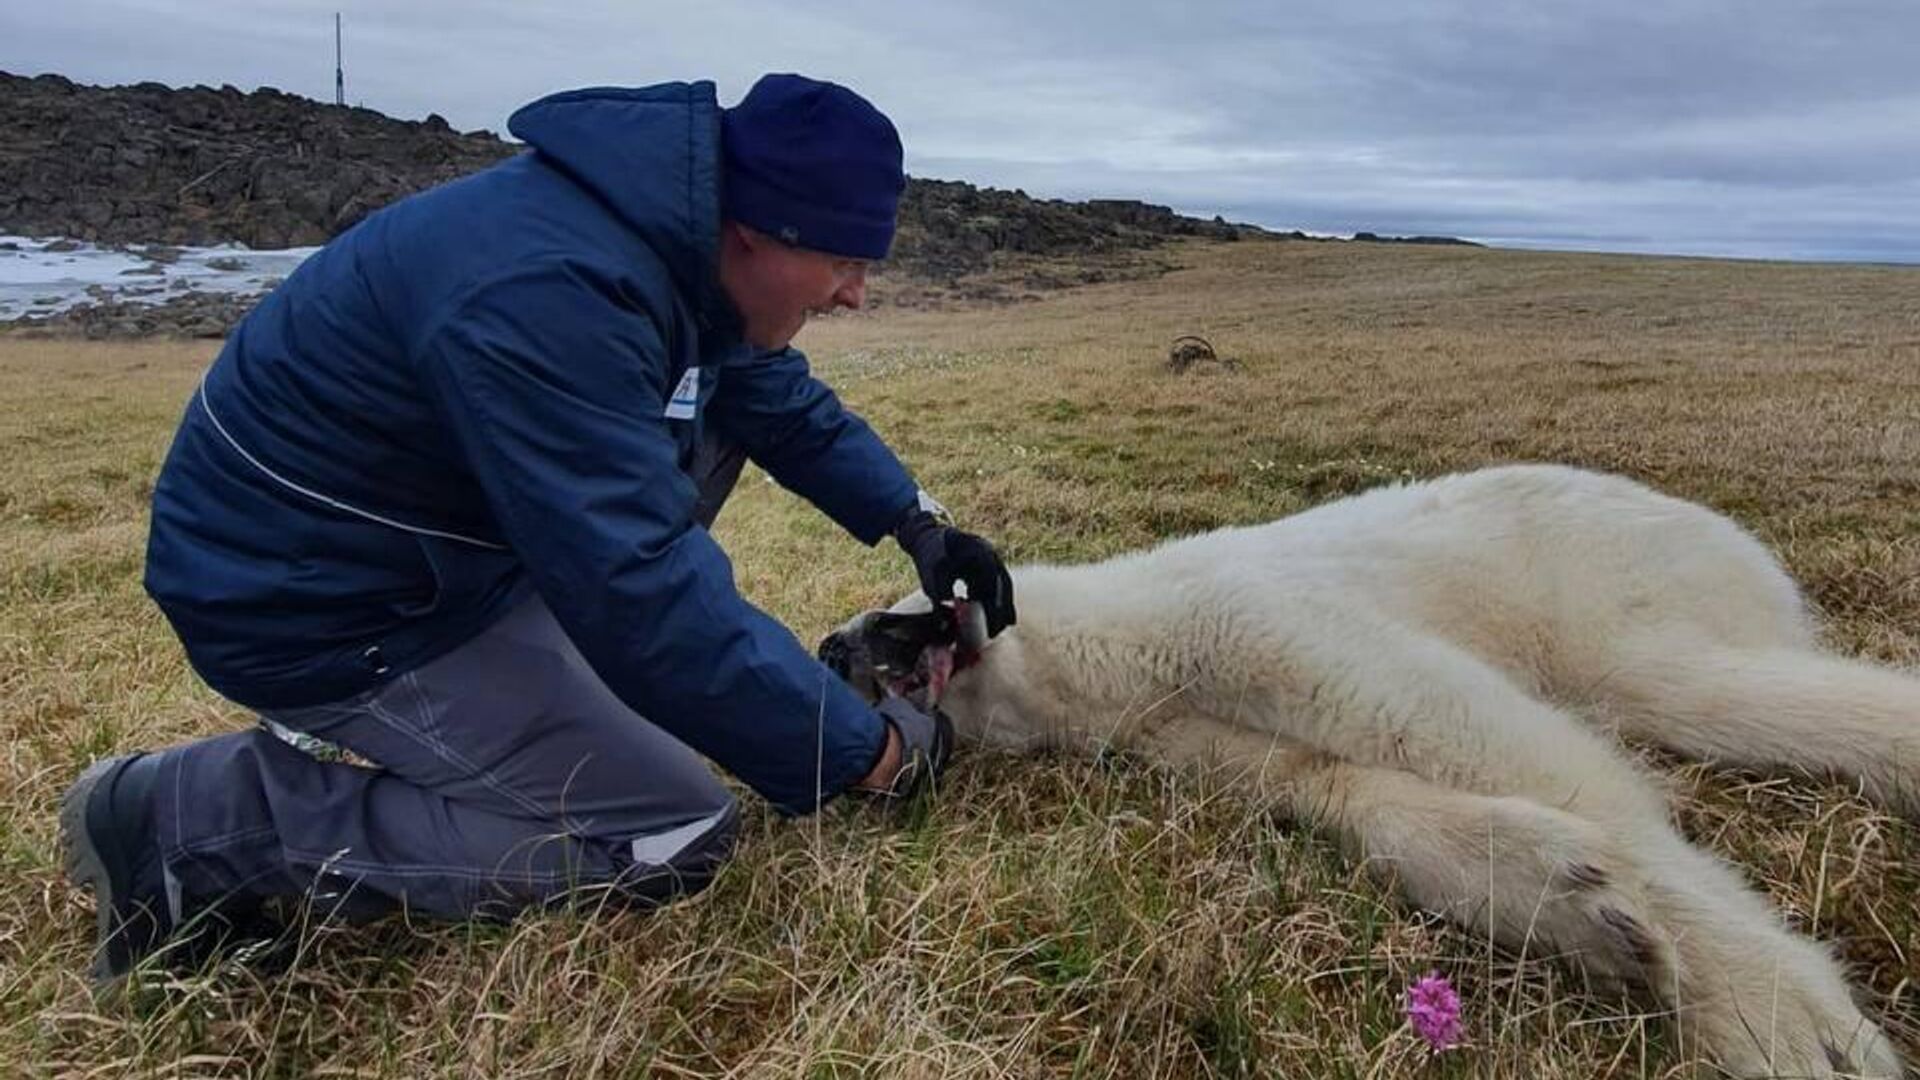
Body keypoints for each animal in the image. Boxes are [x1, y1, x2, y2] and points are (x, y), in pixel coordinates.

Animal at [817, 463, 1912, 1076]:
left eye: (892, 609)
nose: (832, 648)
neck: (1103, 650)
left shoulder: (1237, 620)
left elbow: (1464, 730)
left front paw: (1781, 1022)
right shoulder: (1187, 730)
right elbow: (1340, 788)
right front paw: (1579, 905)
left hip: (1610, 577)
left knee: (1690, 682)